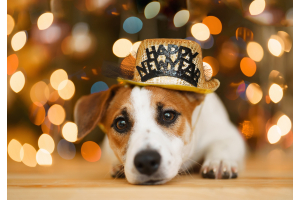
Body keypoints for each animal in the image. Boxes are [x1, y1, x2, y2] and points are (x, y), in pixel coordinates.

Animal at [74, 84, 245, 184]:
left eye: (168, 115)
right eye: (121, 124)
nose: (146, 161)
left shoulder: (229, 133)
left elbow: (222, 144)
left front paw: (219, 161)